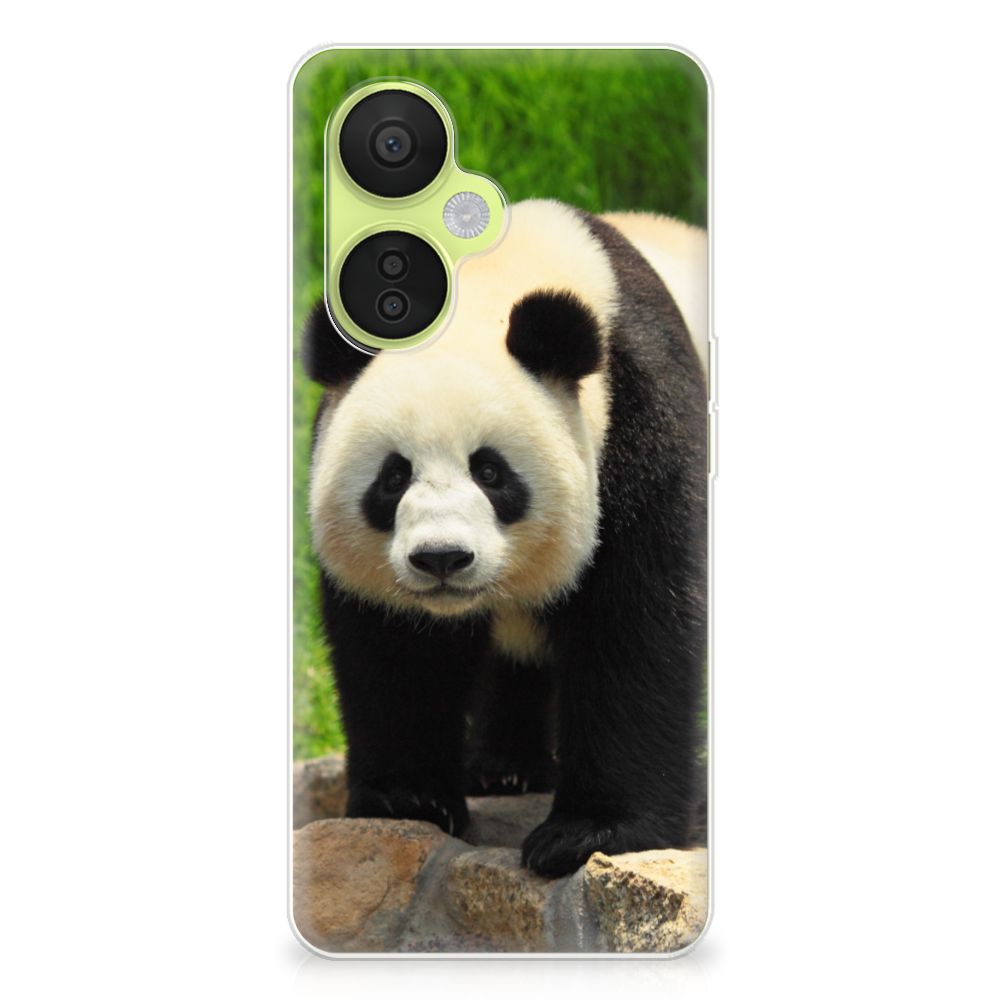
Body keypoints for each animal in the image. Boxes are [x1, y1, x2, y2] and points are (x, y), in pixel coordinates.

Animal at [303, 200, 708, 877]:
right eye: (393, 477)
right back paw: (504, 769)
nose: (442, 558)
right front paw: (408, 799)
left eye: (490, 472)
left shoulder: (642, 424)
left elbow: (636, 626)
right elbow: (397, 650)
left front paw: (589, 833)